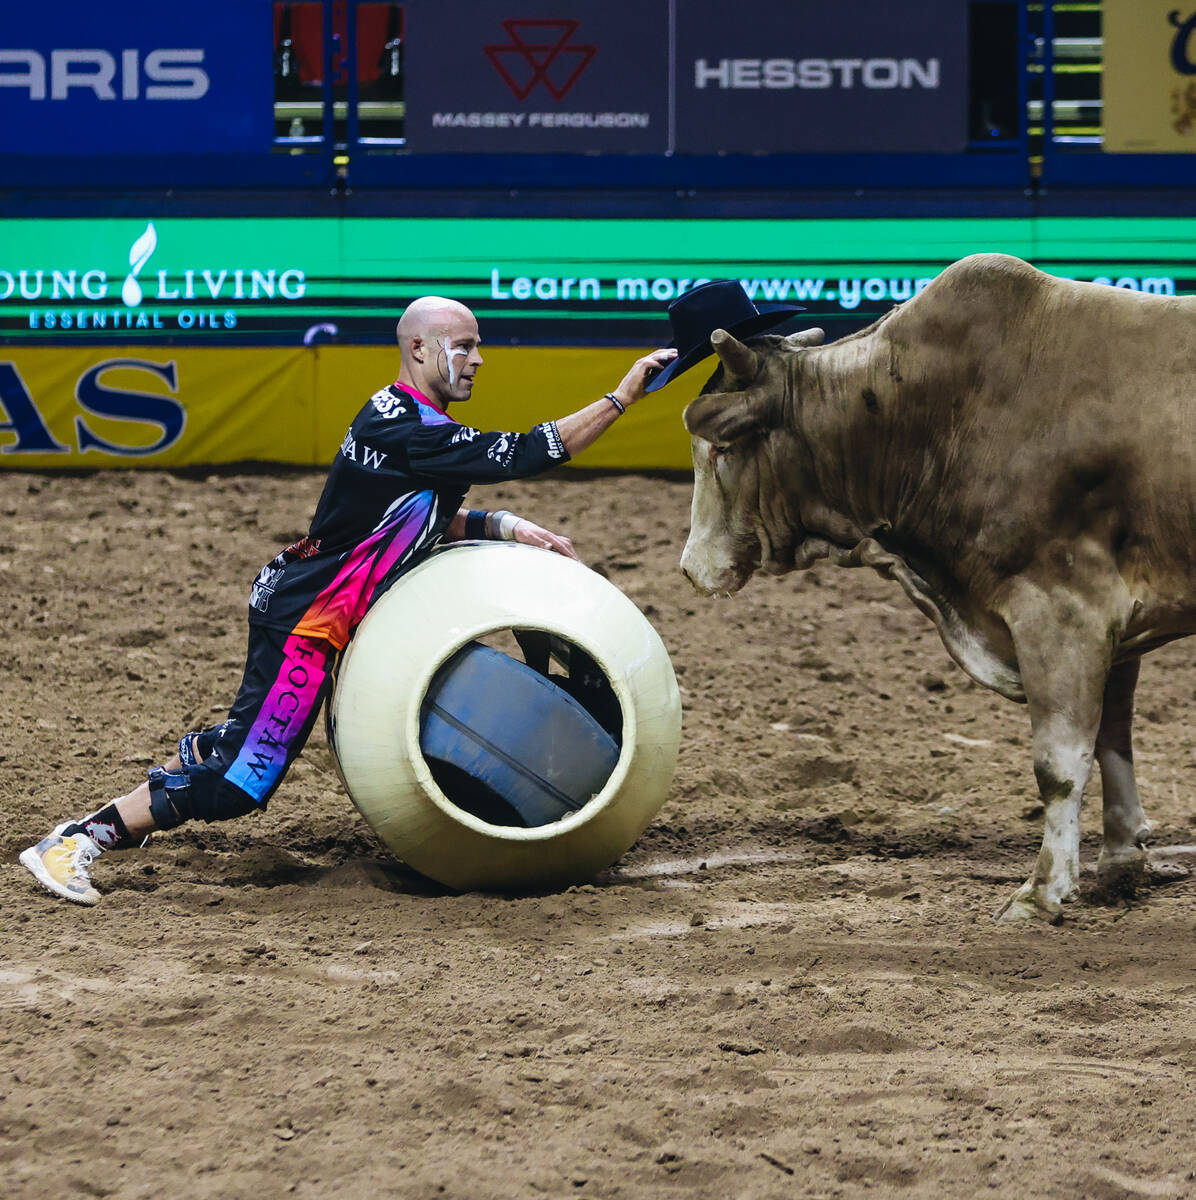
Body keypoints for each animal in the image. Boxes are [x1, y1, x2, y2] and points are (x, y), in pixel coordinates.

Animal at [681, 253, 1194, 921]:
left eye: (720, 448)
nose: (690, 567)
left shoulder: (1063, 611)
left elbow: (1060, 762)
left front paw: (1041, 891)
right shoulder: (1114, 628)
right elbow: (1111, 741)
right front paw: (1120, 861)